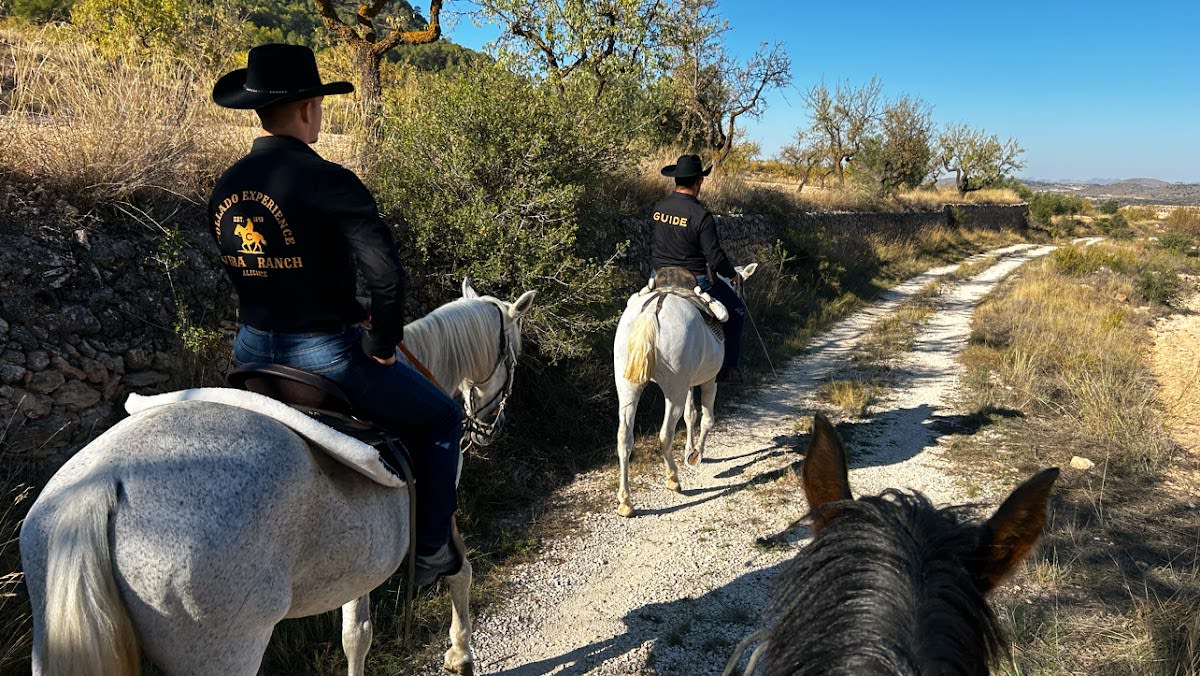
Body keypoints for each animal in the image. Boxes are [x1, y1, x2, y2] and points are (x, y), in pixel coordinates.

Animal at [19, 279, 537, 676]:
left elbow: (356, 634)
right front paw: (460, 655)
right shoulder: (437, 506)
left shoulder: (362, 558)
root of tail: (98, 490)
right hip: (225, 651)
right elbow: (459, 572)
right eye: (515, 355)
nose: (492, 426)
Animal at [612, 263, 757, 517]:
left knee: (624, 438)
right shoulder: (710, 380)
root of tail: (654, 308)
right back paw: (673, 479)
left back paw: (626, 502)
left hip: (629, 387)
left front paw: (690, 450)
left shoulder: (688, 383)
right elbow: (706, 419)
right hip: (674, 391)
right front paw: (696, 454)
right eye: (738, 283)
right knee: (665, 435)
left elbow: (691, 416)